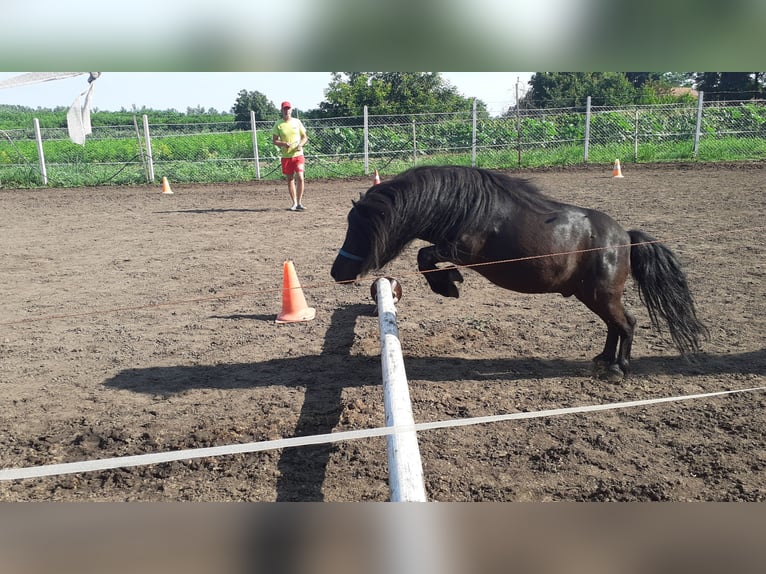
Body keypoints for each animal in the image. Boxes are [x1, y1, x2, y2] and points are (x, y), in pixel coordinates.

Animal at [332, 166, 712, 382]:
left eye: (360, 229)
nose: (337, 272)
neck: (465, 204)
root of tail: (625, 238)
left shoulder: (462, 251)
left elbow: (425, 256)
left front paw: (449, 284)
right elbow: (426, 256)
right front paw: (449, 282)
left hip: (602, 295)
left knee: (627, 324)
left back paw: (618, 370)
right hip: (591, 296)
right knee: (614, 326)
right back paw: (603, 361)